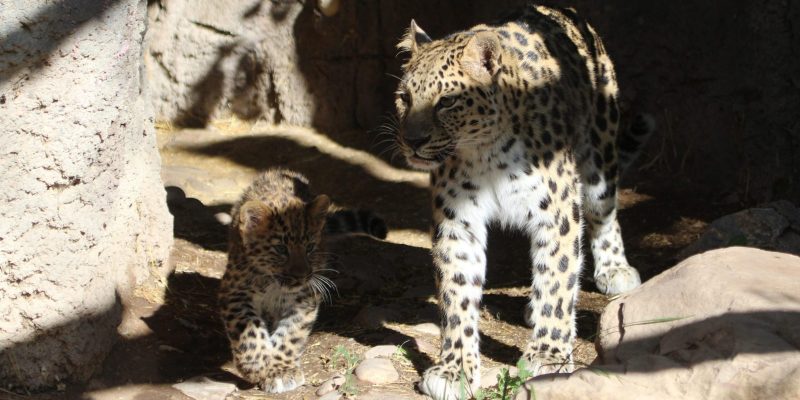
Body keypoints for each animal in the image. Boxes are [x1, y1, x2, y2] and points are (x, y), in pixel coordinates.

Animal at [218, 168, 386, 393]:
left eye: (310, 247)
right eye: (281, 249)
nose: (303, 275)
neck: (273, 286)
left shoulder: (305, 297)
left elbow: (291, 334)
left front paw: (281, 371)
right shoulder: (234, 291)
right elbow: (249, 331)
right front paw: (256, 365)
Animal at [391, 5, 654, 399]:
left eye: (447, 101)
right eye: (404, 98)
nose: (413, 141)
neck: (485, 153)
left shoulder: (558, 212)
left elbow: (558, 280)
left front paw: (548, 353)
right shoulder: (457, 221)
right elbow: (458, 292)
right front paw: (455, 368)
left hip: (600, 156)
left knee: (603, 214)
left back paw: (614, 269)